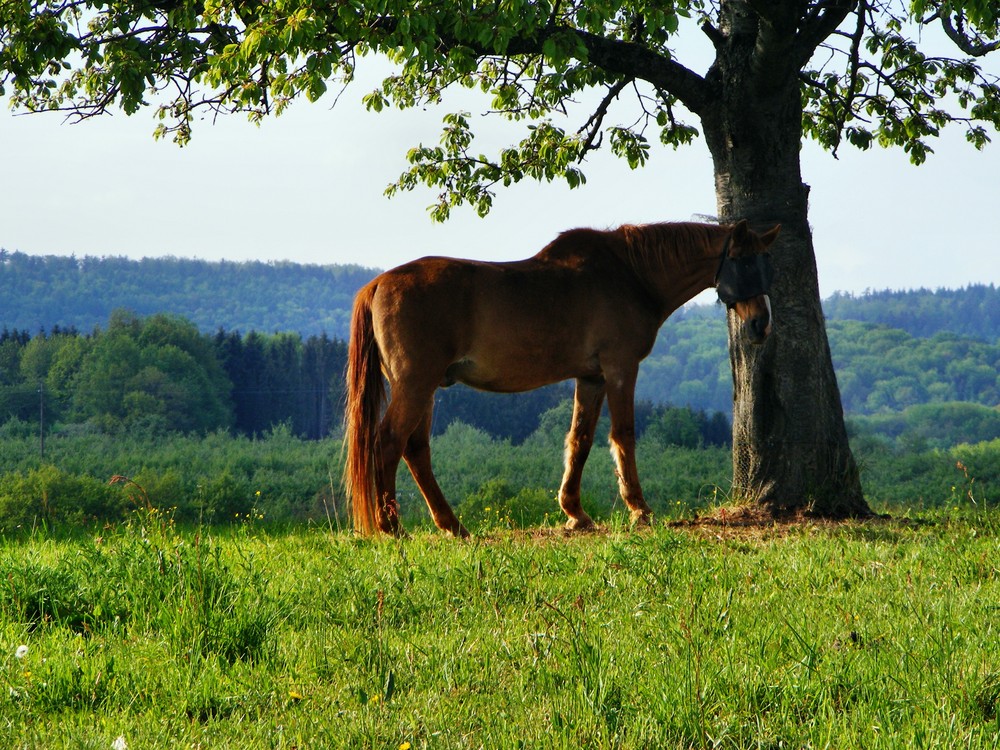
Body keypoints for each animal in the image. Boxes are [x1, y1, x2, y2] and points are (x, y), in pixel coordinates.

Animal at [344, 220, 780, 536]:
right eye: (742, 261)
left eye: (765, 262)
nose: (761, 324)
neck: (630, 275)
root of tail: (378, 284)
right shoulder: (620, 368)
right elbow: (623, 435)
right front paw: (639, 509)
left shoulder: (591, 378)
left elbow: (580, 440)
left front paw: (575, 513)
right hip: (416, 385)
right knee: (388, 442)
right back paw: (392, 527)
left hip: (427, 389)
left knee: (415, 450)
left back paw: (452, 525)